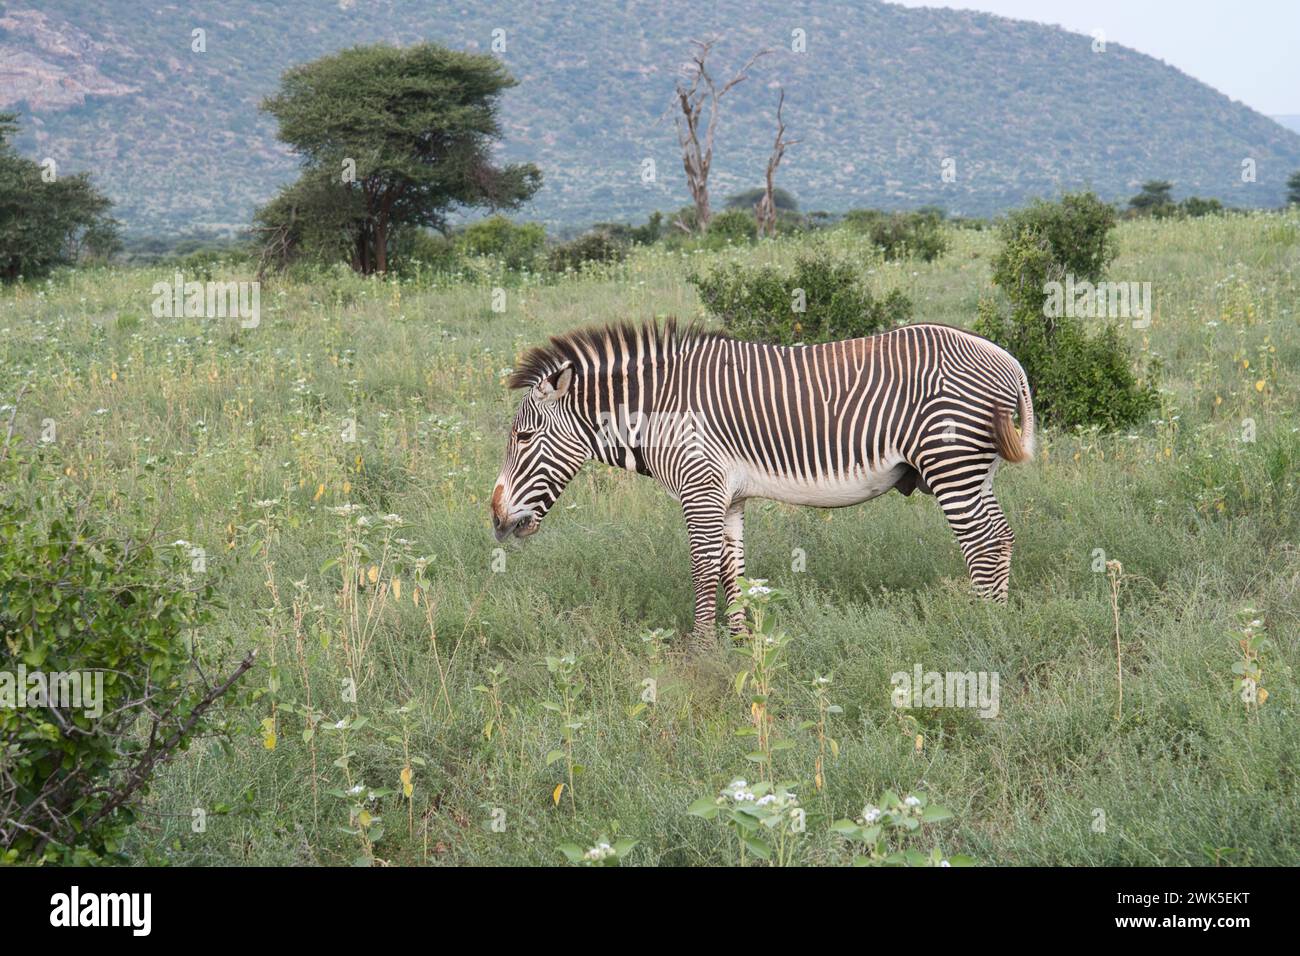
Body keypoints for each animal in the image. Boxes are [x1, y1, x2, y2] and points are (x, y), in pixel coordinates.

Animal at [491, 319, 1035, 648]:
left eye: (523, 437)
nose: (495, 519)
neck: (656, 411)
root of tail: (1007, 359)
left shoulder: (699, 486)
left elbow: (702, 569)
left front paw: (701, 650)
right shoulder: (726, 496)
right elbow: (731, 570)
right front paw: (743, 643)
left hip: (951, 463)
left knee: (983, 542)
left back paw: (982, 624)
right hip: (975, 468)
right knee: (1002, 537)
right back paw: (1000, 617)